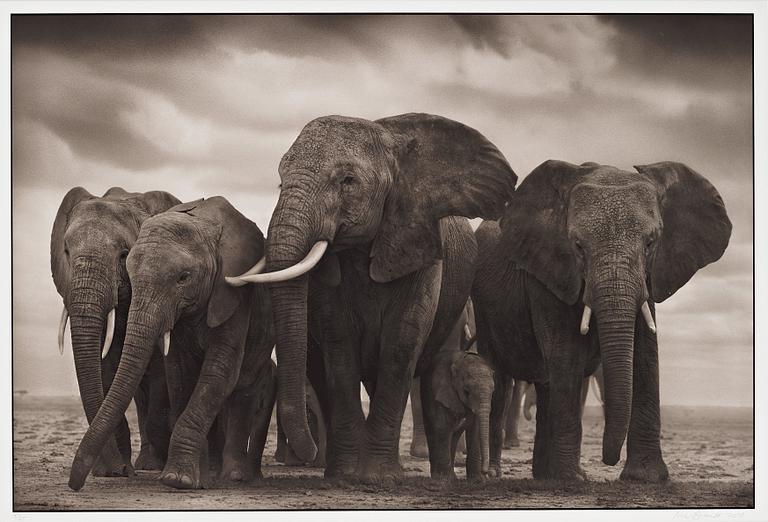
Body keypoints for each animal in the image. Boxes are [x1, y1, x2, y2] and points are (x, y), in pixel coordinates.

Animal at [51, 187, 178, 476]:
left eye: (124, 255)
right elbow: (104, 367)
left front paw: (149, 467)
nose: (120, 470)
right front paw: (111, 471)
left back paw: (150, 465)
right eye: (66, 251)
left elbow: (158, 369)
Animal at [67, 197, 276, 490]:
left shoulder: (234, 296)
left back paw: (234, 477)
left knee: (244, 388)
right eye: (129, 273)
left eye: (183, 278)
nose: (74, 485)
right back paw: (215, 474)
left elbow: (219, 371)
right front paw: (193, 479)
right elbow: (178, 375)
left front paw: (178, 480)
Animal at [228, 114, 516, 480]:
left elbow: (401, 343)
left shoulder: (418, 242)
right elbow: (338, 343)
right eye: (280, 181)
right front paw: (346, 475)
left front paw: (379, 477)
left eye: (348, 180)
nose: (303, 455)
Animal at [474, 158, 732, 480]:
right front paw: (571, 480)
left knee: (545, 384)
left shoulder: (650, 276)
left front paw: (645, 478)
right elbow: (566, 353)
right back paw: (497, 474)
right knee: (501, 380)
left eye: (651, 243)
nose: (609, 460)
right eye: (578, 246)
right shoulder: (547, 271)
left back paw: (545, 475)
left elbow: (645, 352)